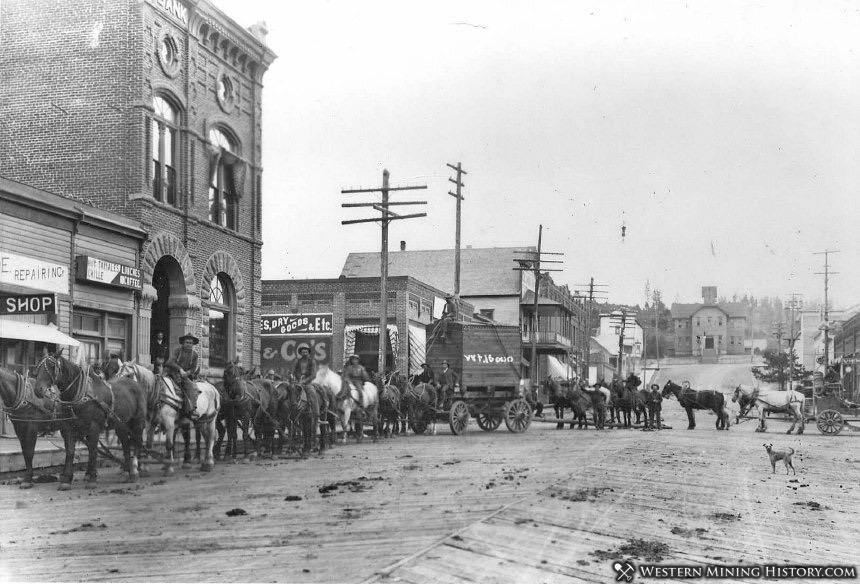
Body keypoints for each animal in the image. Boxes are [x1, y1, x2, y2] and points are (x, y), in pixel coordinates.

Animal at [31, 352, 149, 488]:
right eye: (38, 367)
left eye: (51, 366)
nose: (37, 390)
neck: (80, 395)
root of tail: (136, 384)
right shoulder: (69, 427)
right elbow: (70, 451)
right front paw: (66, 479)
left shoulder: (94, 426)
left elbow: (93, 451)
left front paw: (92, 478)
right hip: (121, 424)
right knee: (126, 443)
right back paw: (126, 471)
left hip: (138, 421)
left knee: (137, 441)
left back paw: (134, 470)